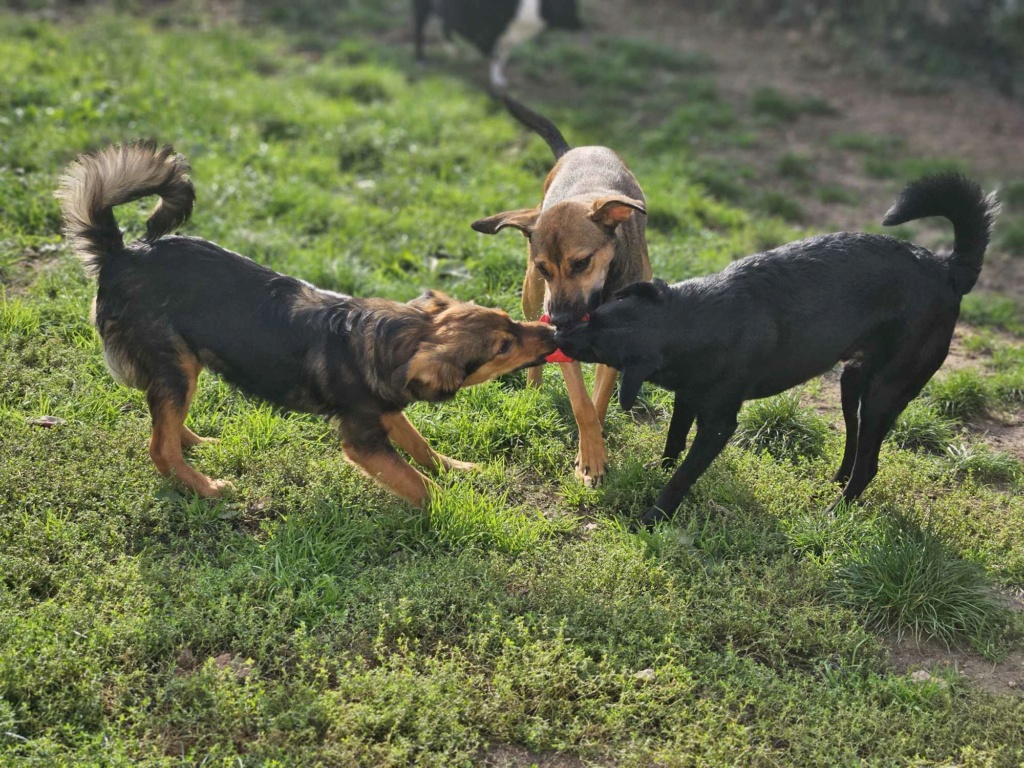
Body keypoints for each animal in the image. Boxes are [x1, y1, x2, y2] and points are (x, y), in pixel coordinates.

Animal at [59, 142, 557, 507]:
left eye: (510, 320)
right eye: (503, 346)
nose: (553, 332)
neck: (395, 340)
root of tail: (121, 254)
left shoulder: (385, 412)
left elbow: (420, 447)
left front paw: (456, 468)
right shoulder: (362, 439)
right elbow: (414, 481)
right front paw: (453, 505)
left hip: (184, 364)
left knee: (166, 421)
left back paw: (196, 442)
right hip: (173, 362)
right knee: (158, 446)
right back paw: (205, 487)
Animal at [411, 0, 581, 88]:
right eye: (570, 7)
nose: (582, 25)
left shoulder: (507, 37)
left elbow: (503, 57)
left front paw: (500, 77)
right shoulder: (490, 32)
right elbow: (494, 56)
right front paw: (495, 80)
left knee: (445, 28)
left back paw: (453, 52)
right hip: (422, 8)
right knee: (420, 29)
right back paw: (420, 59)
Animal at [471, 97, 647, 487]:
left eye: (581, 263)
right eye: (544, 268)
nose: (561, 320)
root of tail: (575, 150)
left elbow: (598, 400)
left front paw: (592, 451)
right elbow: (582, 405)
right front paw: (591, 459)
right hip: (531, 295)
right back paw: (534, 387)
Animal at [557, 172, 995, 528]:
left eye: (595, 344)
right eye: (593, 316)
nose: (557, 332)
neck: (695, 319)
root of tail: (948, 270)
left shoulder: (719, 424)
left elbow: (684, 474)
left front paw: (654, 516)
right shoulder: (688, 395)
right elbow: (674, 441)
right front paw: (657, 468)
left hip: (885, 392)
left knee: (869, 465)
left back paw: (833, 514)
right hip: (853, 380)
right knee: (854, 443)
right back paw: (836, 481)